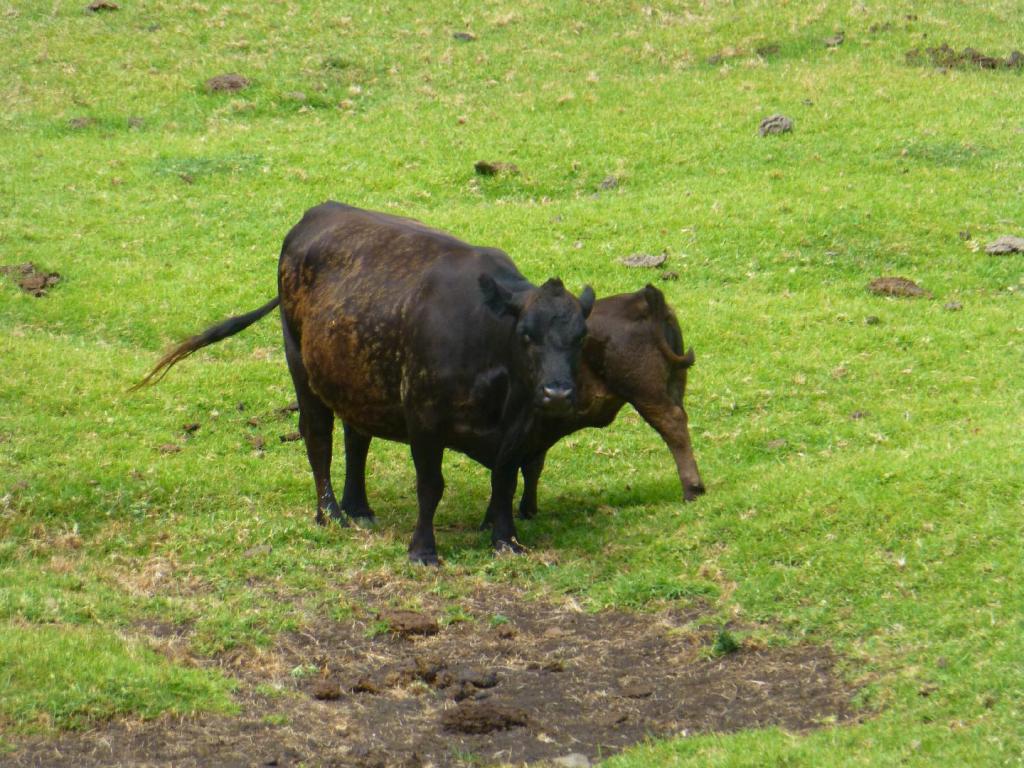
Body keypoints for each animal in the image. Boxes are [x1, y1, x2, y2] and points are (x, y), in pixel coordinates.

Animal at [140, 204, 598, 565]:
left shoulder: (517, 427)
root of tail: (317, 213)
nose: (557, 393)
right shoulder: (423, 418)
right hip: (300, 366)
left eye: (580, 338)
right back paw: (331, 513)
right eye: (526, 335)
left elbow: (504, 480)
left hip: (354, 380)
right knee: (318, 439)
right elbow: (430, 486)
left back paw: (357, 505)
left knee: (355, 439)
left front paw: (506, 541)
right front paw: (422, 551)